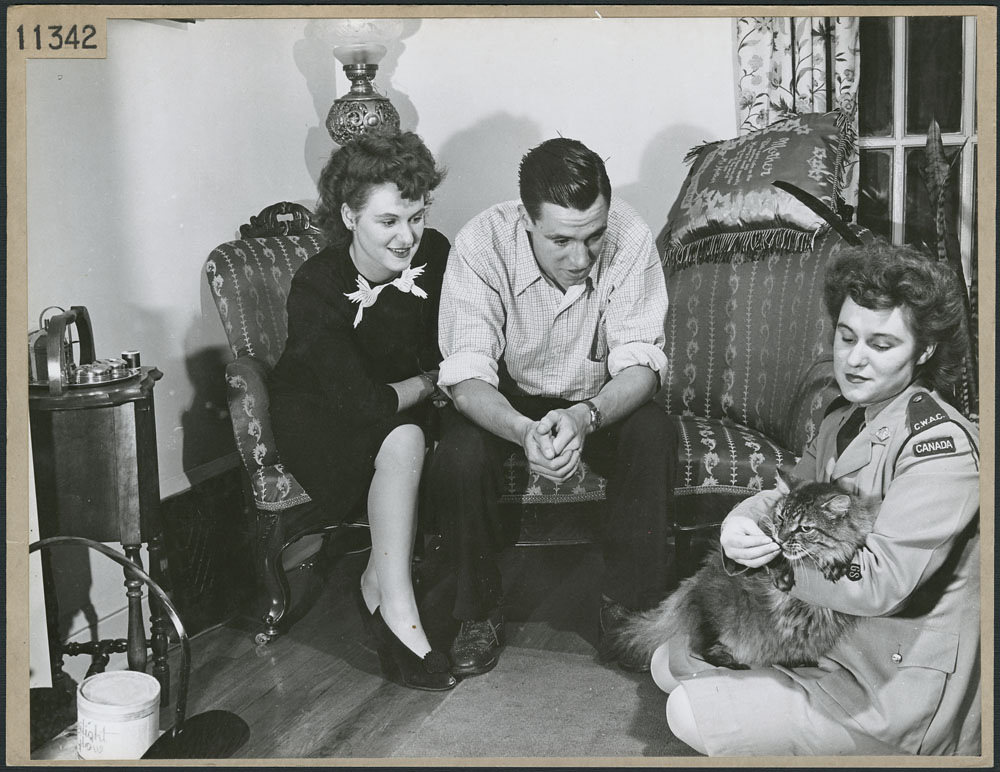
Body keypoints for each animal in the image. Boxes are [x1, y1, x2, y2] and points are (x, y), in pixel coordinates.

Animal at [616, 476, 876, 668]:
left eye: (805, 528)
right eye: (780, 517)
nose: (781, 538)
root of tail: (690, 587)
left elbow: (847, 548)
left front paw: (837, 561)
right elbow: (775, 558)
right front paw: (784, 570)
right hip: (715, 612)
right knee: (702, 647)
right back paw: (730, 661)